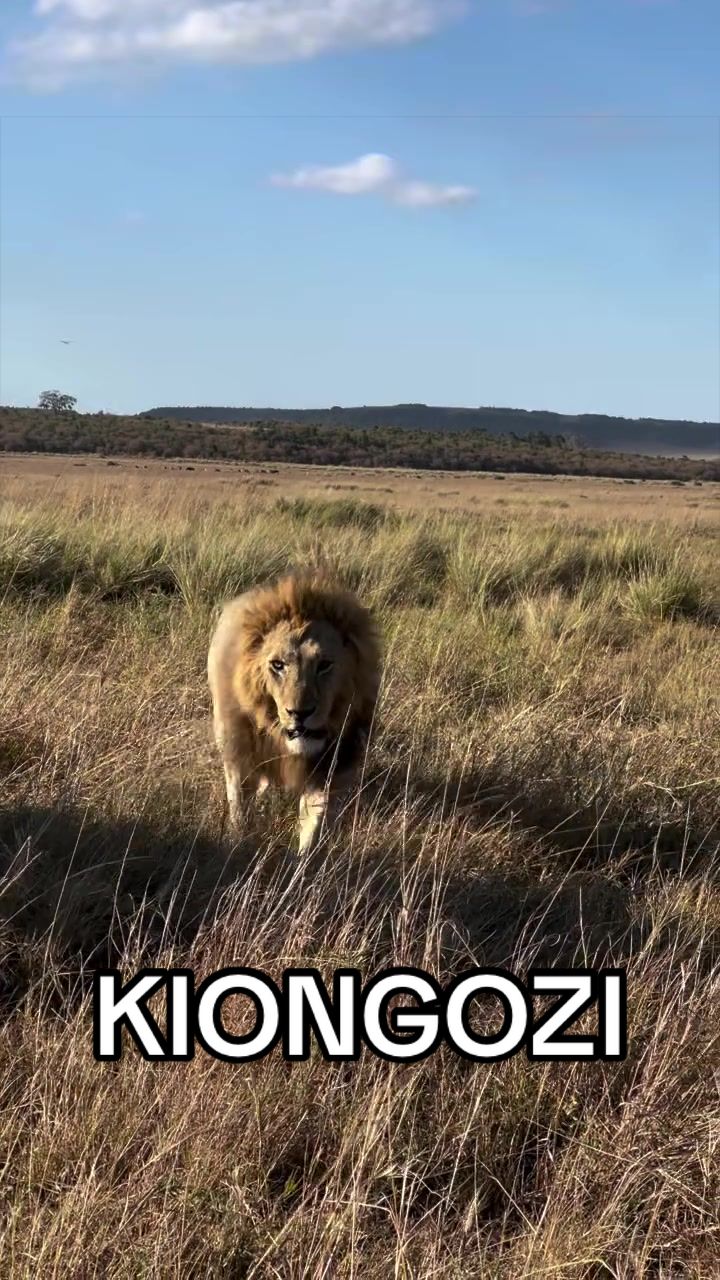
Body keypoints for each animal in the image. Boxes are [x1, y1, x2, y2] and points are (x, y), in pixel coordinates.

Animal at [207, 570, 381, 854]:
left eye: (324, 665)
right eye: (278, 665)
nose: (300, 713)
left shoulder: (330, 766)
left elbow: (315, 824)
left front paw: (305, 861)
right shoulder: (239, 756)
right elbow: (241, 809)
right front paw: (240, 847)